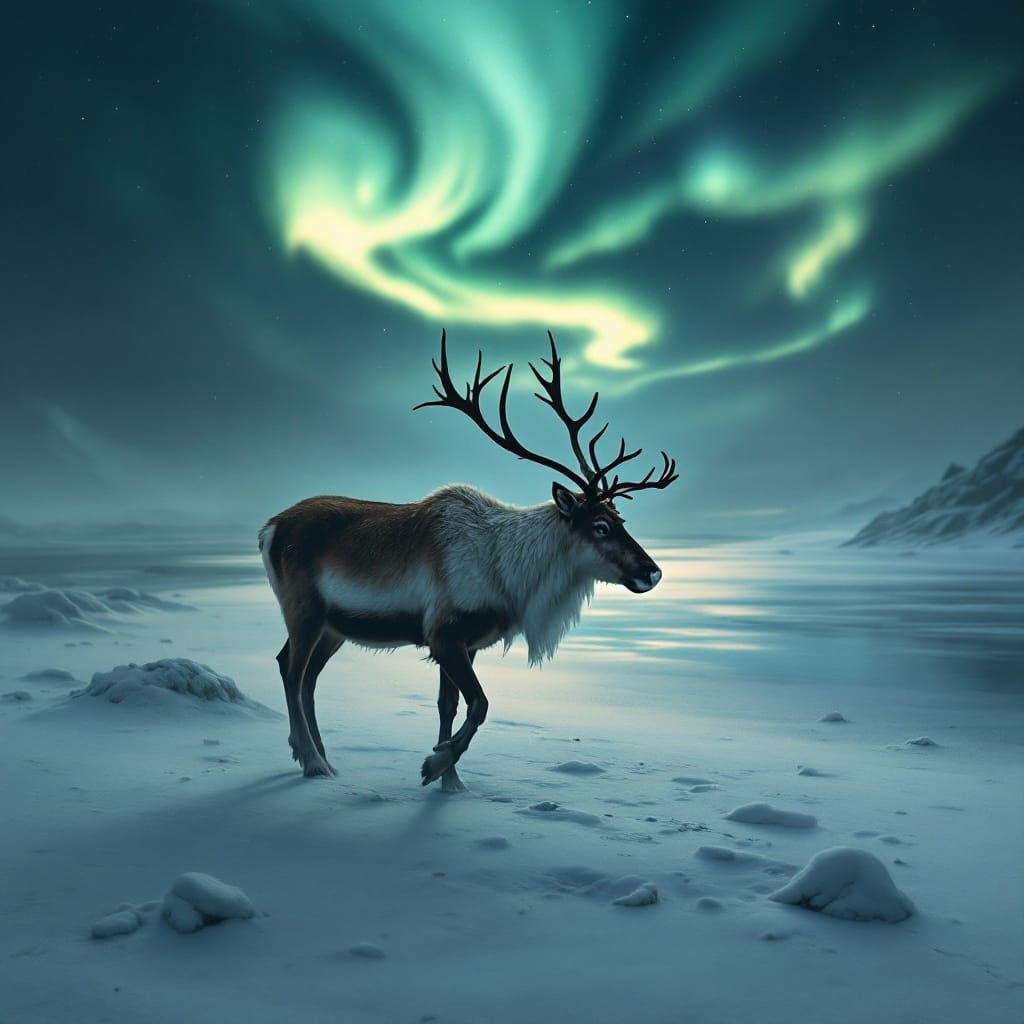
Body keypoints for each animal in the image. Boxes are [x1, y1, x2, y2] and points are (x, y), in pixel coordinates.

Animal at [259, 330, 678, 790]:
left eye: (622, 519)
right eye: (600, 526)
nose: (652, 571)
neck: (510, 575)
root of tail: (269, 529)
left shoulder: (468, 642)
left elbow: (451, 705)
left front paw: (452, 781)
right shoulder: (443, 633)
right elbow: (479, 704)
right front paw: (434, 764)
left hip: (334, 626)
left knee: (308, 676)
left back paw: (324, 760)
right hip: (304, 610)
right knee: (290, 669)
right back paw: (312, 760)